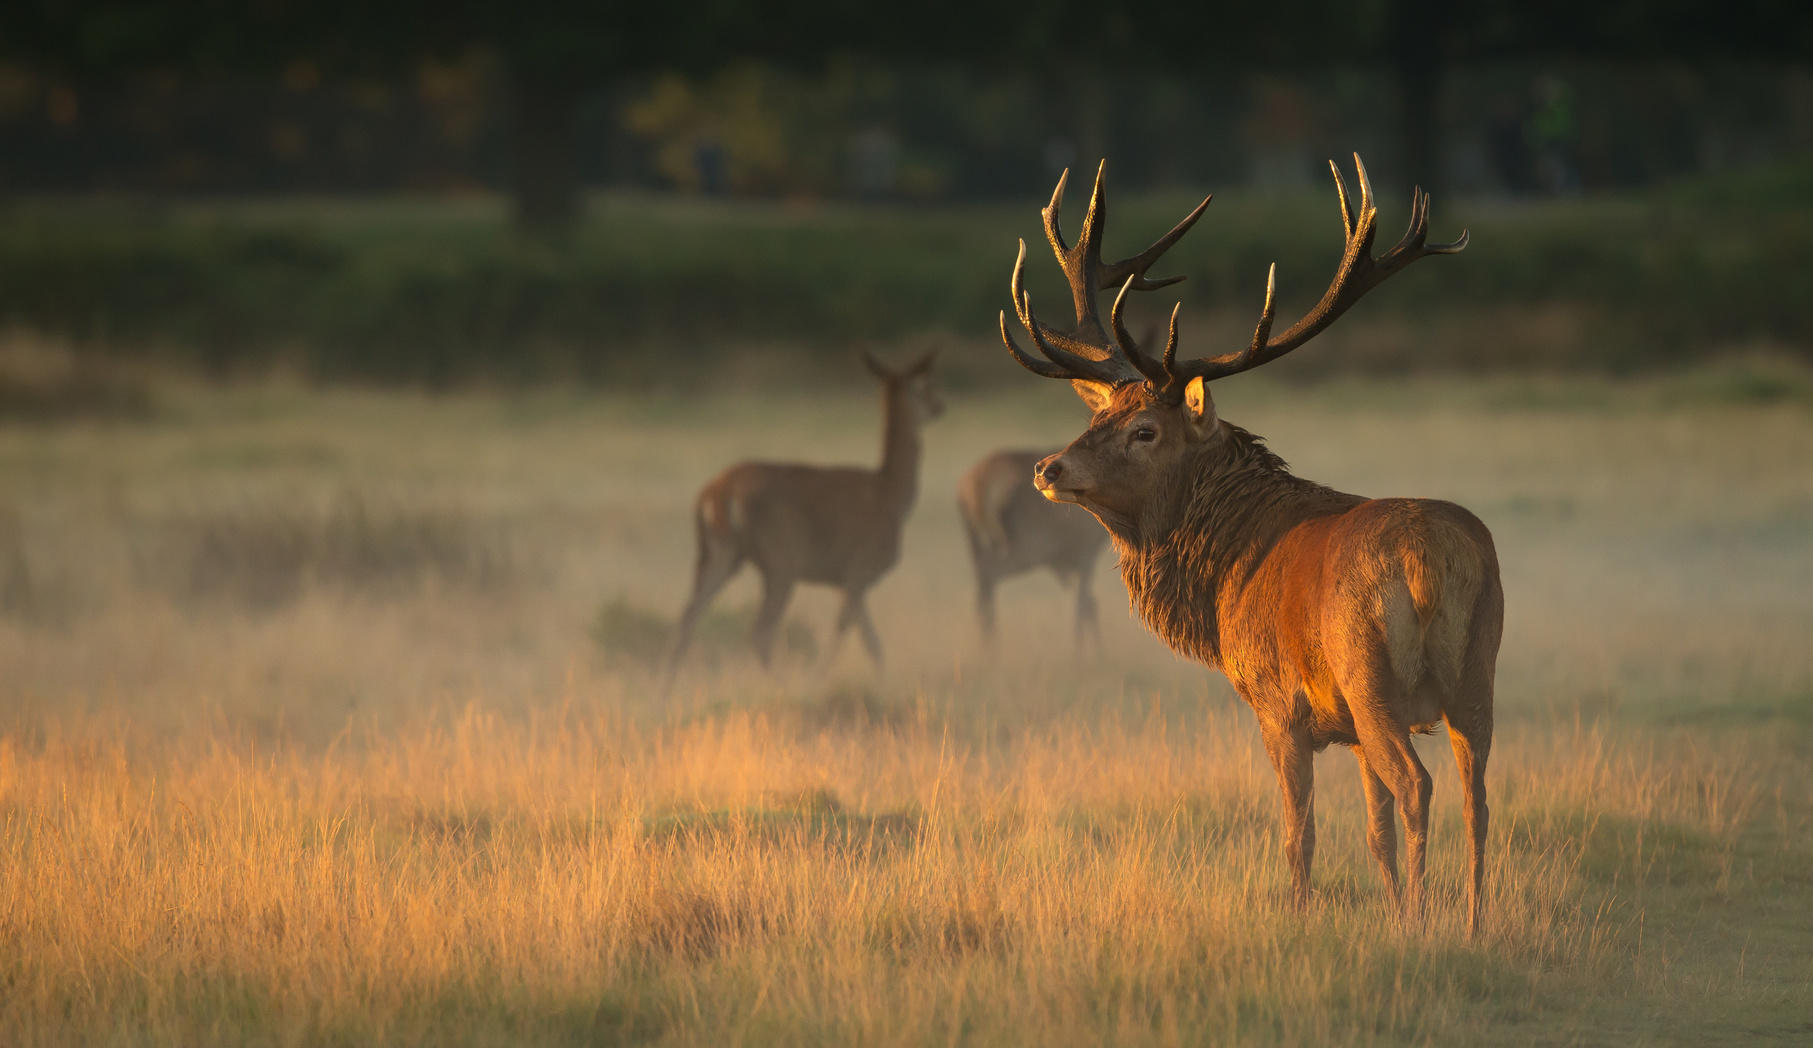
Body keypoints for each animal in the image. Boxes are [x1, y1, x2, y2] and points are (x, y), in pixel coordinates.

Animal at [670, 351, 950, 678]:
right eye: (925, 385)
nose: (940, 406)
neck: (894, 495)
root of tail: (716, 492)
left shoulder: (844, 580)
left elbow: (845, 630)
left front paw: (821, 674)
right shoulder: (859, 568)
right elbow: (869, 641)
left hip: (720, 553)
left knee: (688, 617)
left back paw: (666, 686)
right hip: (781, 559)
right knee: (760, 630)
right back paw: (777, 682)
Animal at [957, 446, 1109, 645]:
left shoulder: (1060, 561)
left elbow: (1090, 605)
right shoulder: (1085, 550)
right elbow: (1082, 605)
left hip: (978, 540)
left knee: (980, 578)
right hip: (1029, 545)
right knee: (989, 572)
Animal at [993, 156, 1501, 928]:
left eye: (1145, 430)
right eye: (1098, 415)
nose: (1048, 469)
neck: (1229, 568)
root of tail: (1430, 563)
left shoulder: (1277, 701)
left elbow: (1300, 833)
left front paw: (1304, 917)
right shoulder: (1348, 726)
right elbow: (1373, 830)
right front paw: (1384, 912)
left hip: (1368, 672)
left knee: (1419, 785)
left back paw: (1423, 921)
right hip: (1478, 669)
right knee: (1476, 796)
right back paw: (1469, 924)